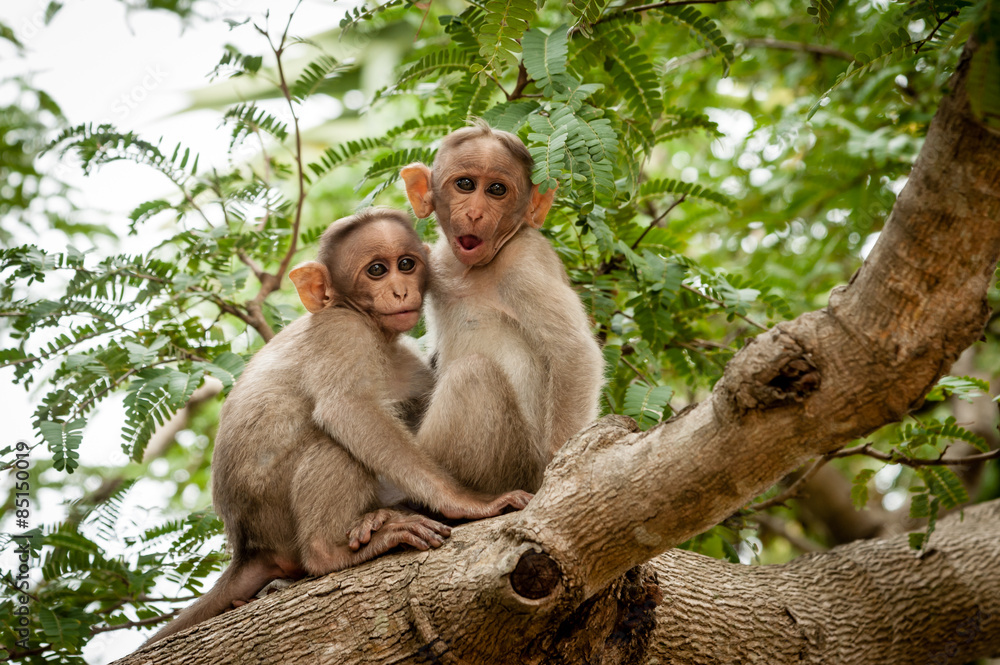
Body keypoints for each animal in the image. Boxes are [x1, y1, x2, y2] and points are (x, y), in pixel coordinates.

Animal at [146, 208, 531, 645]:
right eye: (377, 270)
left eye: (406, 264)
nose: (400, 292)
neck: (356, 314)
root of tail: (249, 547)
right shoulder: (342, 332)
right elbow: (348, 410)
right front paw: (464, 501)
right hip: (278, 521)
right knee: (334, 443)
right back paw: (330, 551)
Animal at [400, 122, 605, 497]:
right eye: (465, 184)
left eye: (497, 190)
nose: (475, 213)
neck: (473, 270)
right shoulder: (438, 263)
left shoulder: (523, 264)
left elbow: (574, 351)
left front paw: (559, 460)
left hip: (510, 462)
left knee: (473, 374)